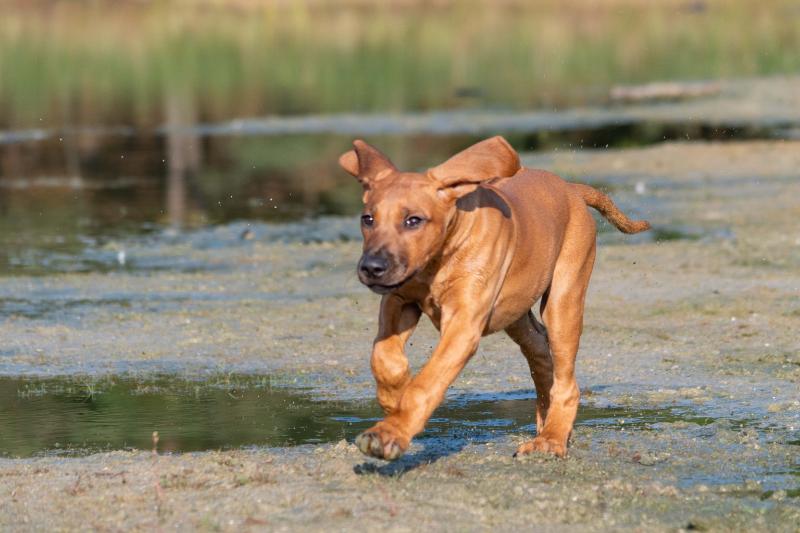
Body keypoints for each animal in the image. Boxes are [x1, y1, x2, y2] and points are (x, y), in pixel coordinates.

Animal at [338, 136, 648, 458]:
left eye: (413, 220)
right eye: (367, 219)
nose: (371, 267)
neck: (439, 259)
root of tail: (571, 188)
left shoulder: (462, 326)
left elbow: (427, 382)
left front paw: (389, 433)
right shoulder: (398, 299)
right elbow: (384, 357)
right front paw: (393, 399)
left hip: (563, 302)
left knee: (566, 381)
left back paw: (551, 439)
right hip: (516, 313)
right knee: (540, 351)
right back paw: (547, 424)